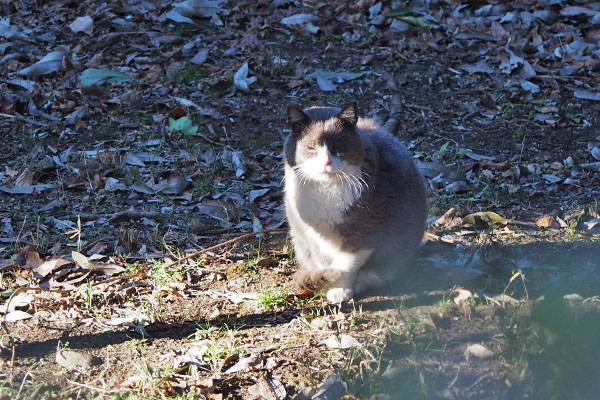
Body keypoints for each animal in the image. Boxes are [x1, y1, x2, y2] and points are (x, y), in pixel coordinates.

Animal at [284, 101, 428, 304]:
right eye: (311, 148)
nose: (326, 162)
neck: (326, 191)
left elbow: (346, 265)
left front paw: (340, 290)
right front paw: (327, 283)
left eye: (338, 147)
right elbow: (325, 263)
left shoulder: (365, 231)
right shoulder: (309, 233)